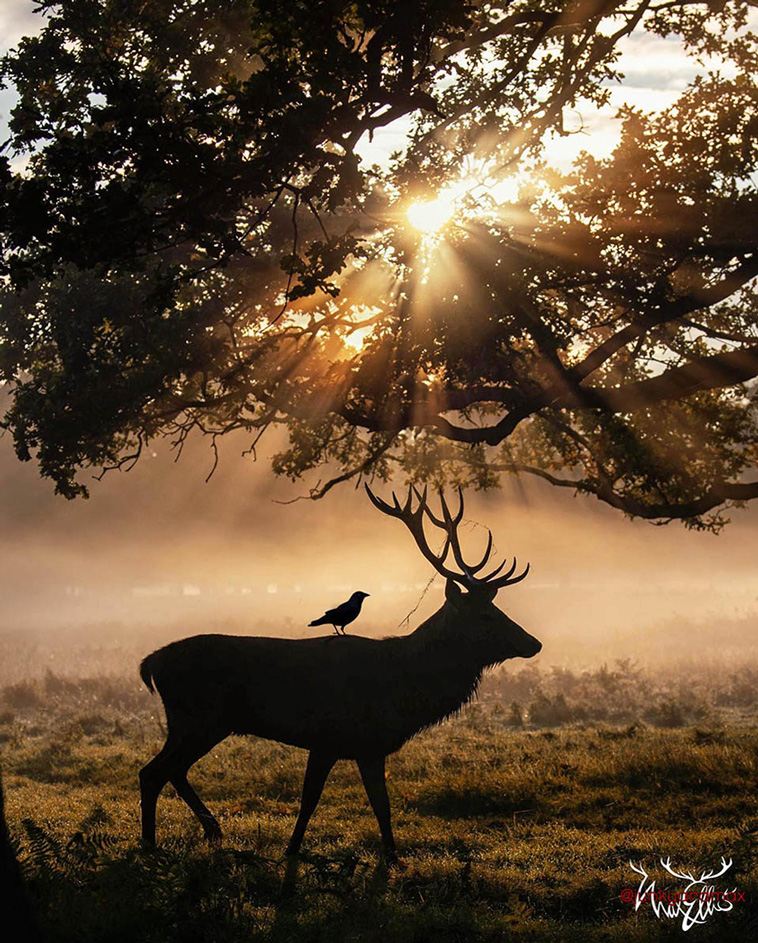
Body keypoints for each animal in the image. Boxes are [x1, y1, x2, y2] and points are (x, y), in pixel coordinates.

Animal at [138, 485, 541, 861]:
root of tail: (151, 663)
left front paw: (392, 857)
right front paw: (293, 851)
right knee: (156, 772)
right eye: (485, 615)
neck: (402, 689)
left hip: (189, 723)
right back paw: (151, 844)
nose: (534, 642)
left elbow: (380, 804)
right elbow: (313, 801)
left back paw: (209, 832)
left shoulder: (368, 746)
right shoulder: (330, 737)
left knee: (166, 770)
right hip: (201, 719)